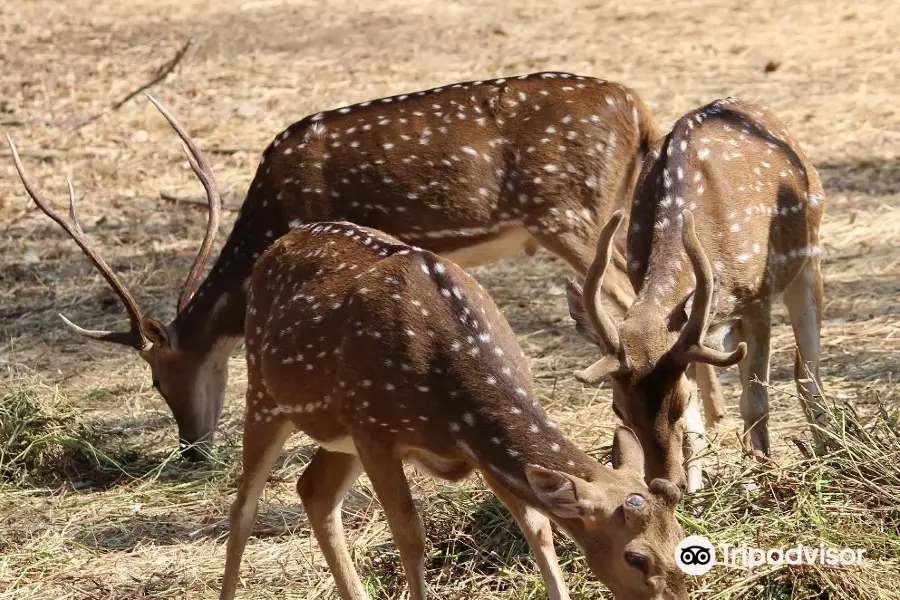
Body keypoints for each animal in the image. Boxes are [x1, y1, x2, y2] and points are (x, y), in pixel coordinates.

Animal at [5, 71, 724, 454]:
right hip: (611, 213)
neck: (272, 209)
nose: (190, 448)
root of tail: (640, 112)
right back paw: (708, 427)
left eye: (158, 378)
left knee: (629, 307)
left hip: (570, 215)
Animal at [218, 219, 688, 600]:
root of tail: (279, 242)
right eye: (635, 558)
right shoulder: (375, 431)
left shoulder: (475, 446)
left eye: (683, 542)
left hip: (339, 431)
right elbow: (410, 534)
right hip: (265, 392)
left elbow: (538, 527)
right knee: (243, 509)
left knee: (314, 491)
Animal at [568, 97, 828, 492]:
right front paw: (694, 490)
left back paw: (829, 453)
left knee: (808, 375)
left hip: (808, 256)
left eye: (678, 402)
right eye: (618, 408)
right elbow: (695, 428)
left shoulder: (757, 299)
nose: (661, 479)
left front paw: (763, 478)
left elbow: (756, 403)